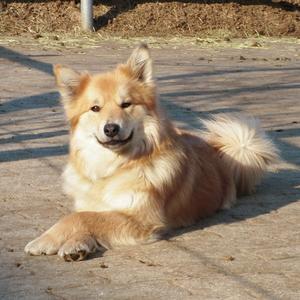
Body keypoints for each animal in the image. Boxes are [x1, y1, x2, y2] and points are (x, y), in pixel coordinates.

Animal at [24, 43, 278, 262]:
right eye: (95, 108)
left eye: (126, 104)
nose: (111, 128)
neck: (114, 168)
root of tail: (219, 152)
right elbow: (86, 216)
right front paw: (77, 244)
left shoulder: (140, 219)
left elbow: (80, 217)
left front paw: (47, 239)